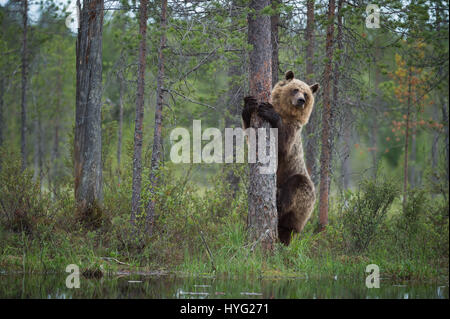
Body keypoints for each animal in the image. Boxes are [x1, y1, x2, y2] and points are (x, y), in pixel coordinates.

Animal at [243, 70, 320, 245]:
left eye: (306, 93)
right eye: (295, 89)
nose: (301, 100)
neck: (286, 114)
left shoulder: (294, 131)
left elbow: (283, 144)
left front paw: (269, 112)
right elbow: (250, 134)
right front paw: (249, 104)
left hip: (303, 196)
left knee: (296, 188)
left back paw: (278, 203)